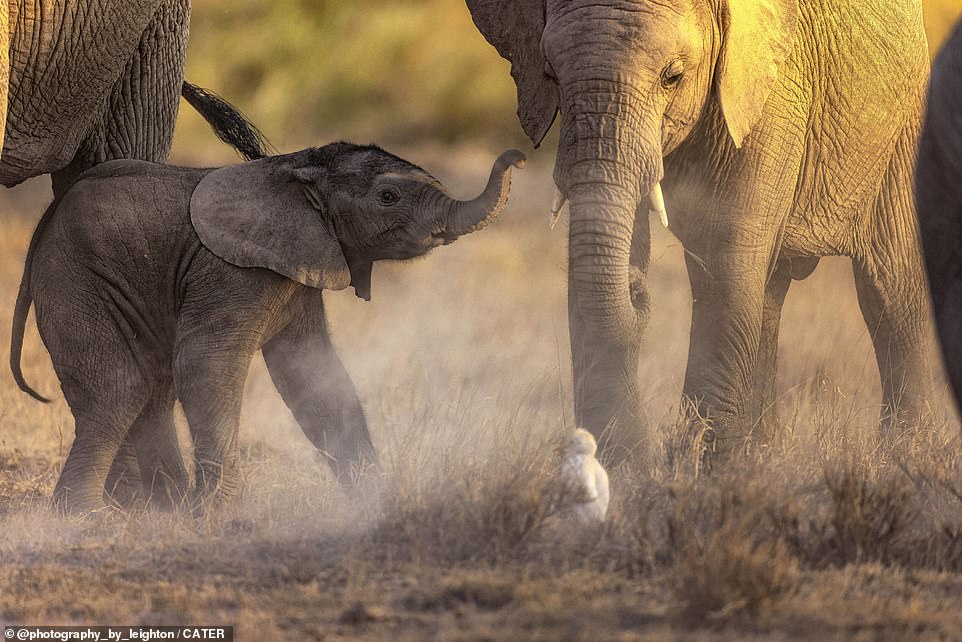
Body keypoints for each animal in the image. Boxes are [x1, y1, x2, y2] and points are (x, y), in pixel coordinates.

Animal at [9, 144, 524, 510]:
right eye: (388, 196)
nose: (517, 155)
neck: (298, 166)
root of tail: (45, 220)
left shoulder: (301, 267)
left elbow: (314, 375)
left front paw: (374, 502)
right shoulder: (234, 270)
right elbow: (206, 363)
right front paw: (218, 515)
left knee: (152, 387)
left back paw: (166, 507)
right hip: (75, 278)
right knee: (122, 387)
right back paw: (82, 516)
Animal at [468, 0, 932, 460]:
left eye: (672, 76)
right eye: (550, 74)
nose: (636, 286)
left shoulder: (773, 95)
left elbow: (727, 259)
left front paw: (701, 468)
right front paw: (623, 466)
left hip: (903, 130)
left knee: (891, 295)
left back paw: (902, 457)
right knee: (769, 294)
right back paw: (761, 458)